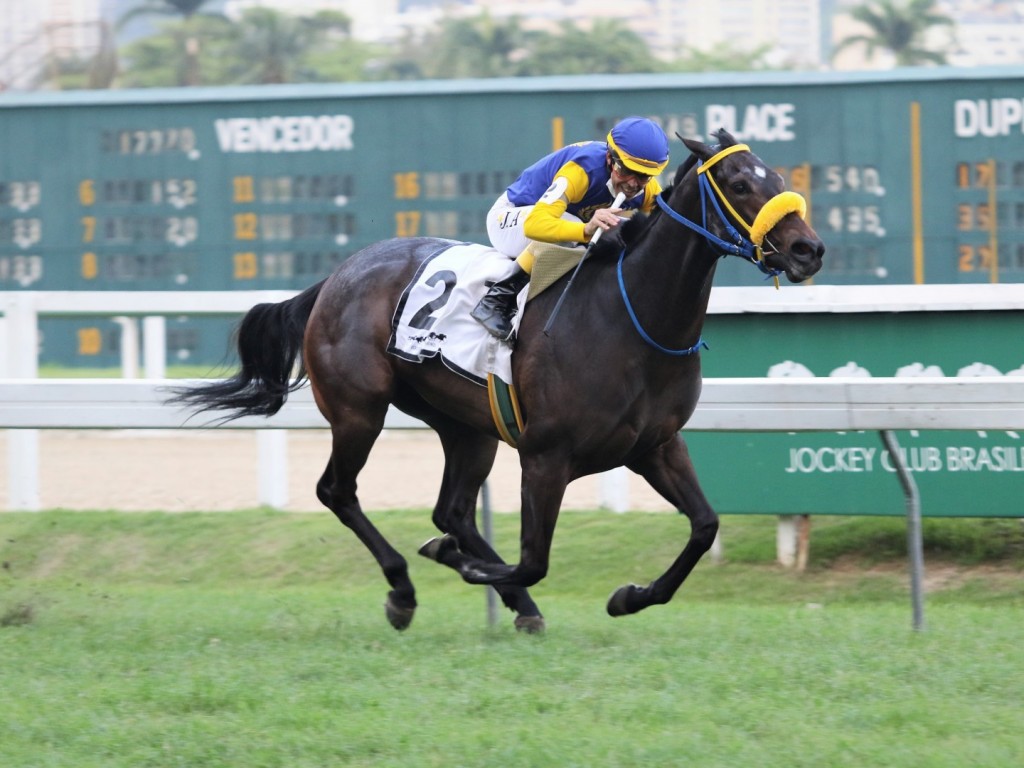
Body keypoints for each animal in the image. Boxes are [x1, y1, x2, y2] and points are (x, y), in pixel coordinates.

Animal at [169, 131, 823, 630]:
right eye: (739, 184)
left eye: (776, 175)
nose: (807, 249)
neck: (630, 318)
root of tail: (335, 277)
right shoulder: (546, 455)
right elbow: (534, 558)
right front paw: (469, 568)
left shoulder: (656, 446)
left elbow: (705, 526)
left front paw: (629, 597)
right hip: (360, 411)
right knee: (338, 491)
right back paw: (405, 589)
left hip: (467, 427)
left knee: (451, 512)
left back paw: (504, 596)